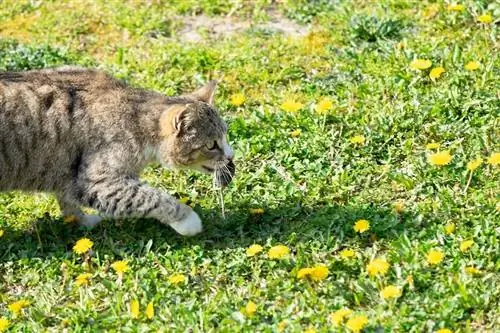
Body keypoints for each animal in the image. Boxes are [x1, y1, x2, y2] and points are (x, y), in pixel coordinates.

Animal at [0, 66, 235, 235]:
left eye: (226, 135)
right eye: (211, 145)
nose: (231, 156)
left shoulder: (69, 176)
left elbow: (68, 201)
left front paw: (83, 222)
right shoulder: (97, 182)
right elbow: (151, 197)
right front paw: (188, 220)